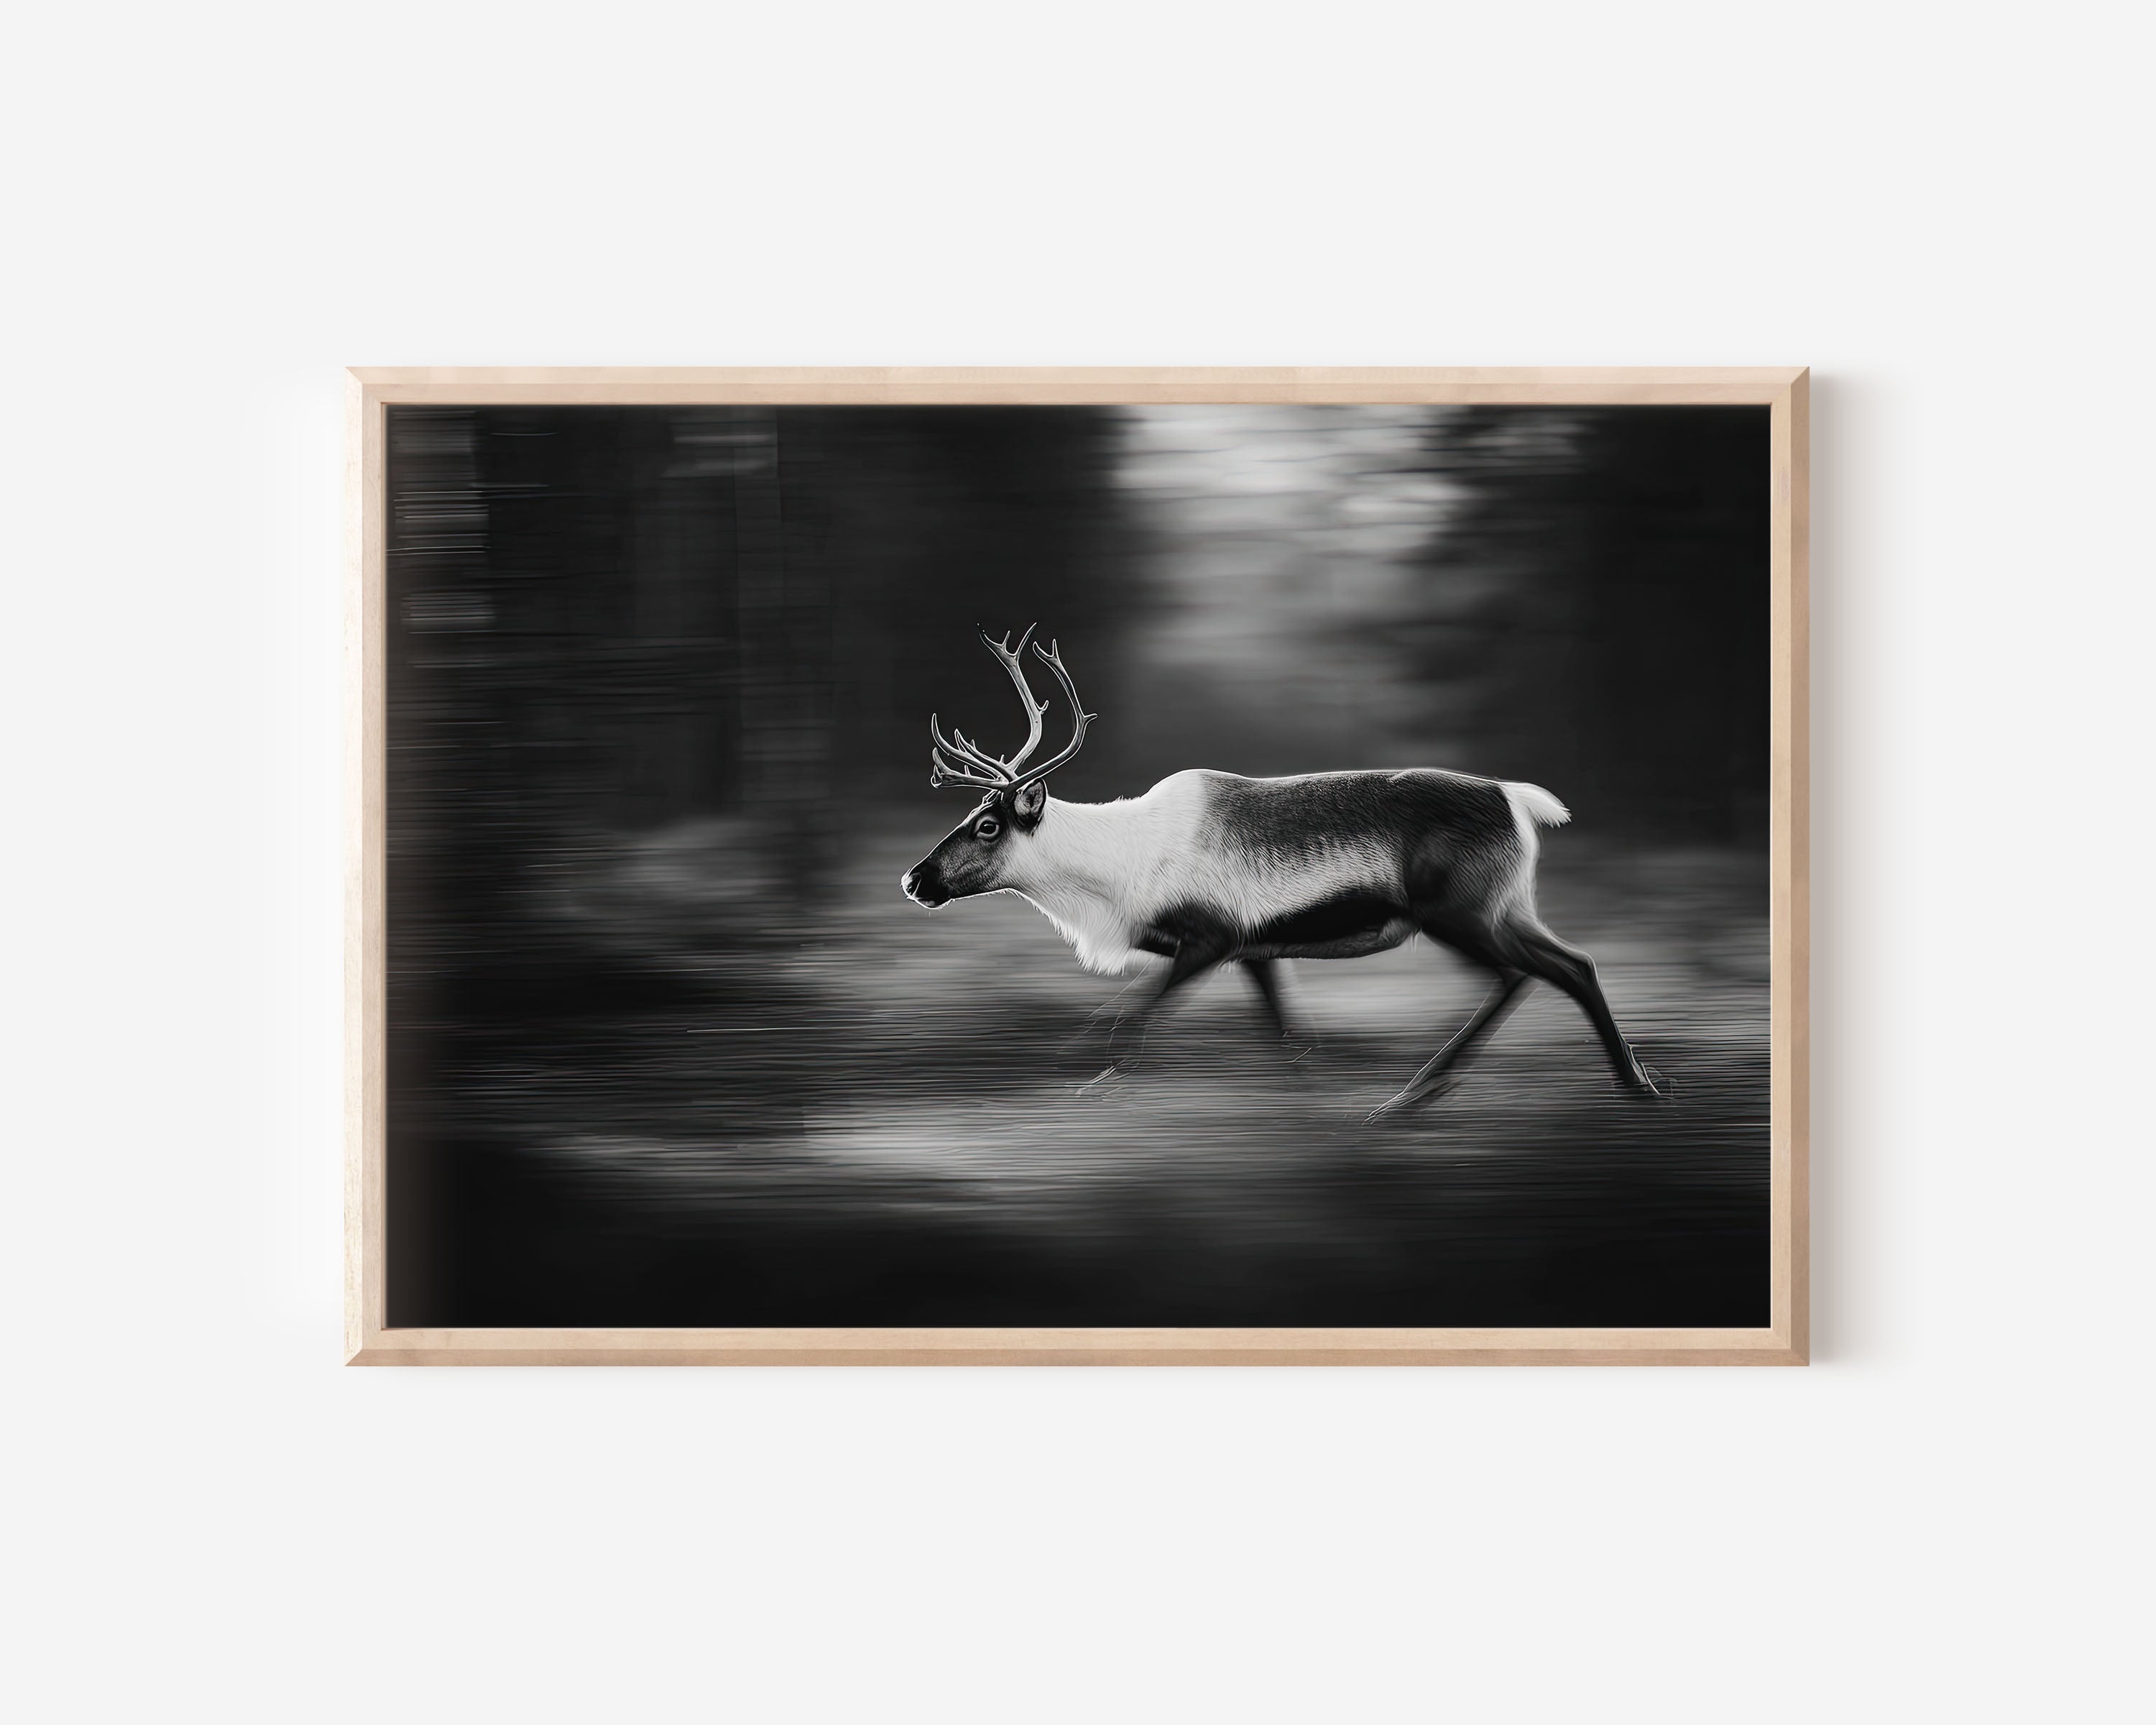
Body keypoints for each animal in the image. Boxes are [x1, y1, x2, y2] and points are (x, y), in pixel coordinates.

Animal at [899, 626, 1667, 1119]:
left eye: (989, 824)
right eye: (972, 815)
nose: (915, 880)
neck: (1117, 874)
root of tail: (1518, 801)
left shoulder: (1209, 939)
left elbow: (1130, 1023)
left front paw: (1093, 1091)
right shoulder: (1253, 950)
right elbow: (1290, 1039)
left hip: (1459, 914)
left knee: (1523, 975)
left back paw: (1414, 1097)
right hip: (1505, 908)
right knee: (1572, 965)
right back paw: (1630, 1085)